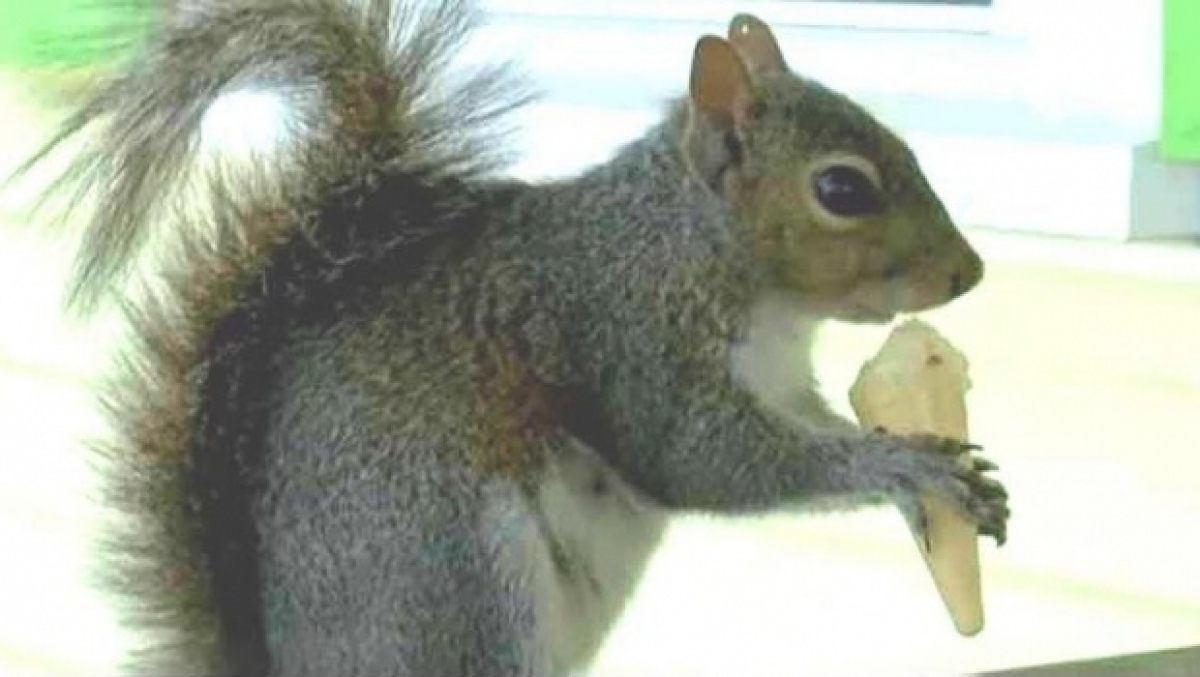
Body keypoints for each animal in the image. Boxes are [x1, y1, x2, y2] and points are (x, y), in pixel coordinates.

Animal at [9, 0, 1010, 674]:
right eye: (842, 188)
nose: (968, 274)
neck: (692, 242)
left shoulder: (779, 381)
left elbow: (809, 427)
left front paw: (943, 476)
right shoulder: (625, 329)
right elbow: (701, 458)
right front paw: (901, 467)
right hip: (461, 586)